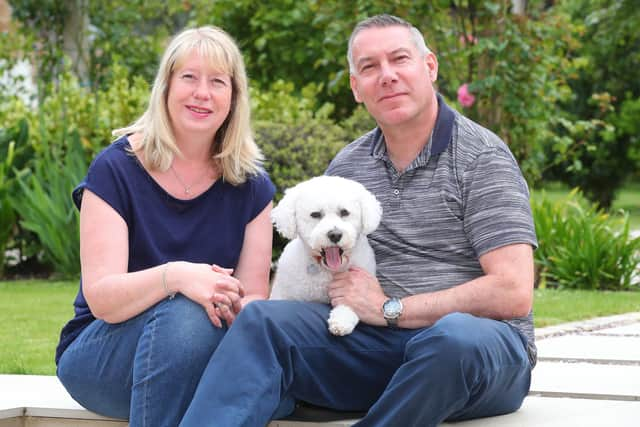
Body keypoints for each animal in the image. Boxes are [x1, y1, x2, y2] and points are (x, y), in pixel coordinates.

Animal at [268, 176, 380, 336]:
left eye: (344, 212)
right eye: (315, 214)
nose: (335, 234)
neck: (325, 270)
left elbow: (352, 304)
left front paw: (341, 322)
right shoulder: (283, 292)